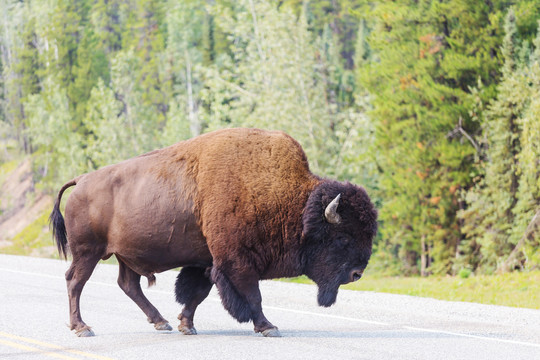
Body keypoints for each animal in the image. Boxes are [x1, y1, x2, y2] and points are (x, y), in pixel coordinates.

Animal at [52, 127, 378, 338]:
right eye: (342, 237)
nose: (357, 274)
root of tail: (82, 180)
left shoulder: (209, 262)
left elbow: (198, 293)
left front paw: (186, 325)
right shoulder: (237, 262)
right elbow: (252, 296)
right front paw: (268, 327)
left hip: (125, 255)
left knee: (128, 284)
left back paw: (161, 322)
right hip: (88, 252)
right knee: (75, 282)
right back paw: (83, 328)